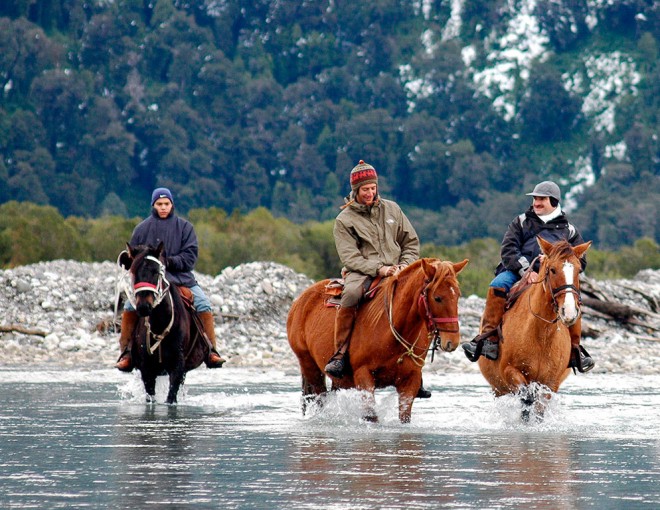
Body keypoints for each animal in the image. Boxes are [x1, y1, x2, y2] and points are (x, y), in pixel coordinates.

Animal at [288, 258, 470, 422]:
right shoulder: (364, 377)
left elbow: (405, 417)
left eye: (458, 296)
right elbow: (371, 416)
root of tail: (300, 301)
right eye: (437, 297)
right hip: (309, 366)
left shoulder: (410, 381)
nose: (452, 341)